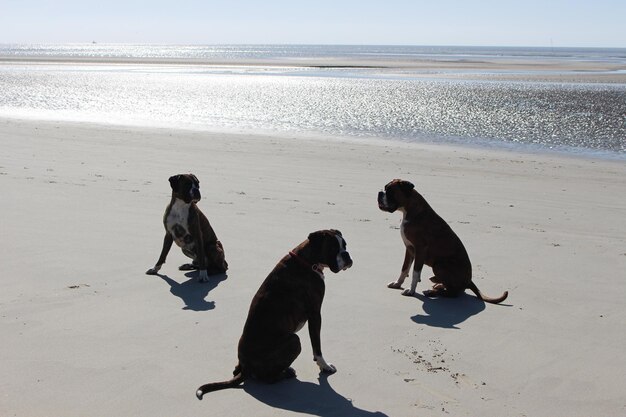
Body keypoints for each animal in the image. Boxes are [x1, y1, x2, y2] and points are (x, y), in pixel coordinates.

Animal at [195, 229, 352, 398]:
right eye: (333, 248)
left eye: (344, 245)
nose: (346, 254)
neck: (307, 261)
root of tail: (246, 367)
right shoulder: (315, 314)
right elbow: (317, 346)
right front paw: (325, 366)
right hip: (294, 341)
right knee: (268, 378)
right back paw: (285, 373)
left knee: (237, 369)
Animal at [376, 178, 508, 302]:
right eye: (385, 188)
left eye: (390, 192)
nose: (379, 193)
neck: (411, 211)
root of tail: (469, 281)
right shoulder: (409, 249)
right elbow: (404, 269)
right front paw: (397, 284)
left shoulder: (420, 250)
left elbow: (415, 273)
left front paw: (411, 291)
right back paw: (438, 286)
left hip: (439, 265)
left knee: (453, 293)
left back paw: (433, 292)